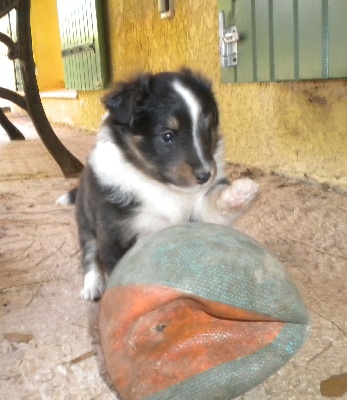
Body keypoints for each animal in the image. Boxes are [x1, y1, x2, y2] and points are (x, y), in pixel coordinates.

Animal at [57, 69, 258, 300]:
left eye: (207, 131)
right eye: (168, 136)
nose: (205, 176)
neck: (160, 187)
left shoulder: (195, 216)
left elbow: (213, 206)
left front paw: (240, 193)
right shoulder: (114, 235)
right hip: (86, 222)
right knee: (89, 255)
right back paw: (92, 286)